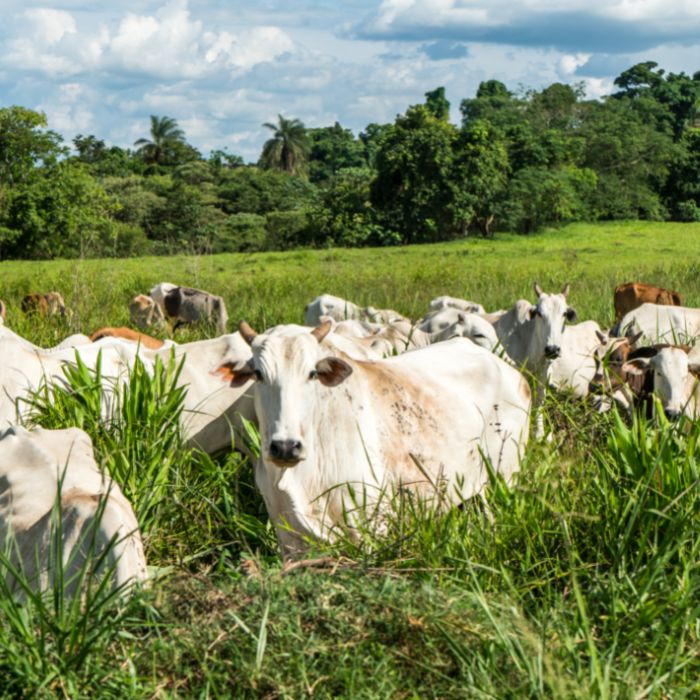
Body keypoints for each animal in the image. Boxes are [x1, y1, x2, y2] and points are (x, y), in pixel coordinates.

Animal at [216, 322, 528, 556]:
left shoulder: (371, 530)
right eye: (258, 373)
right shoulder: (290, 540)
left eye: (312, 373)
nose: (285, 447)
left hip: (505, 480)